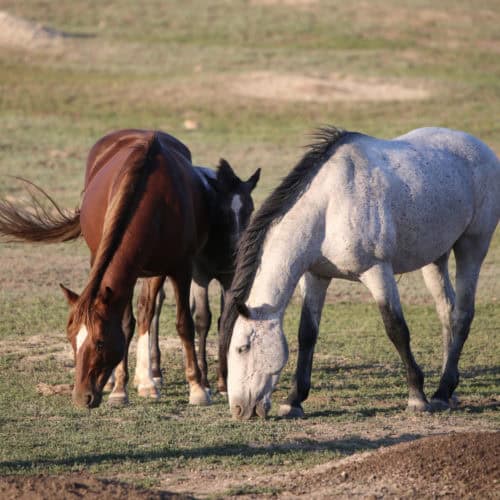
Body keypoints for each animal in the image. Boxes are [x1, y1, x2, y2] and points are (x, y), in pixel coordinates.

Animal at [0, 127, 258, 408]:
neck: (152, 200)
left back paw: (148, 380)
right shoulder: (124, 273)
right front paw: (119, 390)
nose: (81, 397)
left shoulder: (180, 268)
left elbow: (183, 324)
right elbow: (125, 324)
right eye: (70, 339)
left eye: (100, 343)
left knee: (149, 310)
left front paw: (197, 389)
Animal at [222, 125, 500, 418]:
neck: (328, 207)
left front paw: (417, 397)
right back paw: (449, 390)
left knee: (462, 314)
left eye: (242, 348)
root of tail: (480, 147)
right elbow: (307, 333)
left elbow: (396, 329)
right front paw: (293, 400)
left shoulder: (377, 271)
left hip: (473, 246)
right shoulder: (316, 276)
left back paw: (441, 391)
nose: (238, 409)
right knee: (447, 311)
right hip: (436, 257)